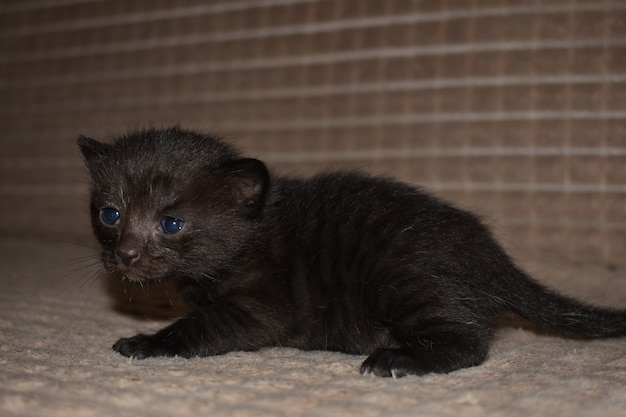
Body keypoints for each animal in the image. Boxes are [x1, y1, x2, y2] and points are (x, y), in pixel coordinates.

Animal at [78, 126, 624, 376]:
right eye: (111, 215)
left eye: (171, 223)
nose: (125, 255)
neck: (252, 233)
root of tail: (493, 257)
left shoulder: (261, 307)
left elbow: (198, 326)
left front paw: (146, 342)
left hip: (406, 277)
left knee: (468, 342)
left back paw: (396, 358)